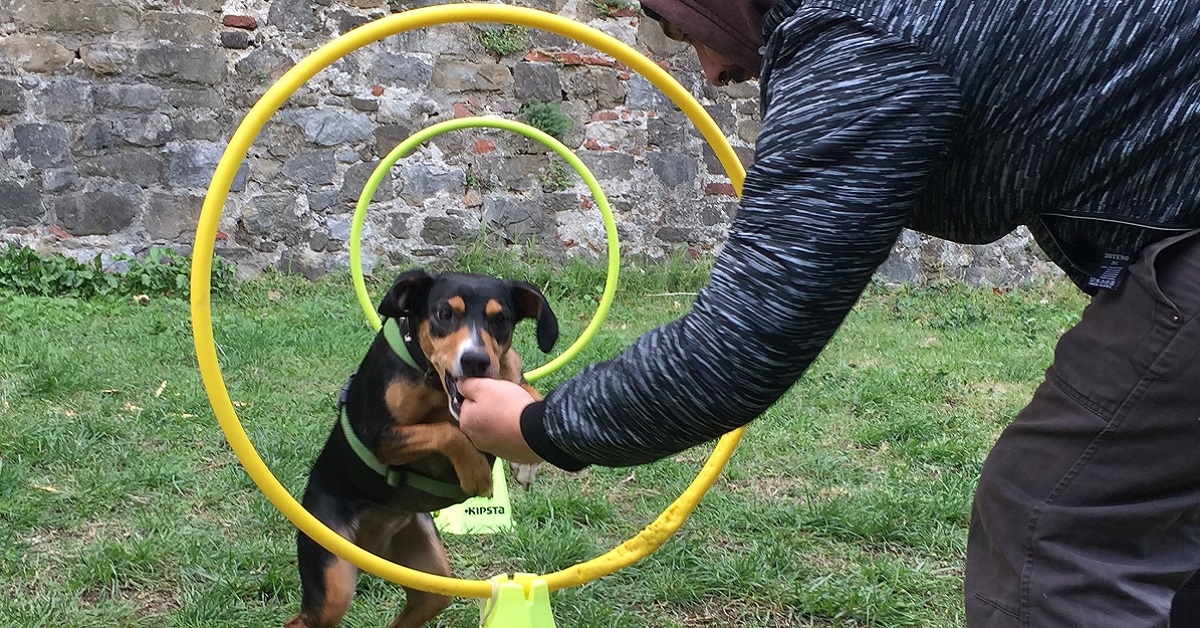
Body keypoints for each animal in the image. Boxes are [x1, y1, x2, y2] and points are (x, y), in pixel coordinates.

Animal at [285, 268, 556, 628]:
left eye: (501, 319)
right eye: (444, 314)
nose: (475, 360)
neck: (433, 380)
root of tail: (372, 544)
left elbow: (525, 387)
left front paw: (527, 463)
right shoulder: (382, 438)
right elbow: (448, 432)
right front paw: (477, 474)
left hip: (430, 580)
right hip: (332, 576)